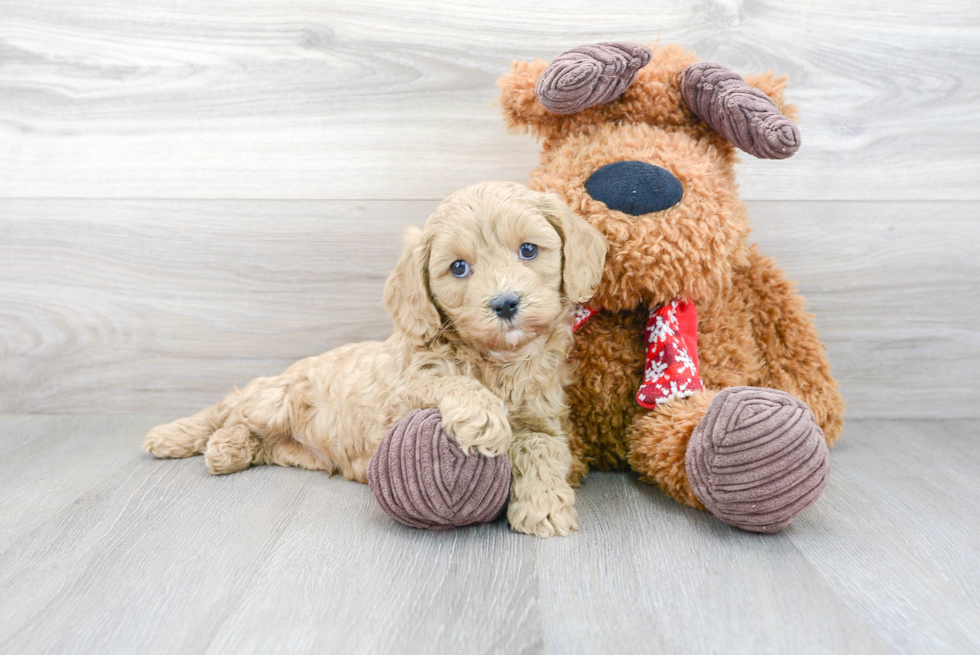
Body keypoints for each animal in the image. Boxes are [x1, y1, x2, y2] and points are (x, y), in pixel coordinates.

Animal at [145, 181, 604, 540]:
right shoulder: (395, 400)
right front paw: (482, 414)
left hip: (294, 448)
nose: (505, 303)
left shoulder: (545, 421)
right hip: (274, 399)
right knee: (228, 407)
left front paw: (544, 506)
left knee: (256, 437)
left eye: (528, 250)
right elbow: (447, 381)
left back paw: (228, 448)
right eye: (458, 267)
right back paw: (175, 436)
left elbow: (542, 450)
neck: (497, 361)